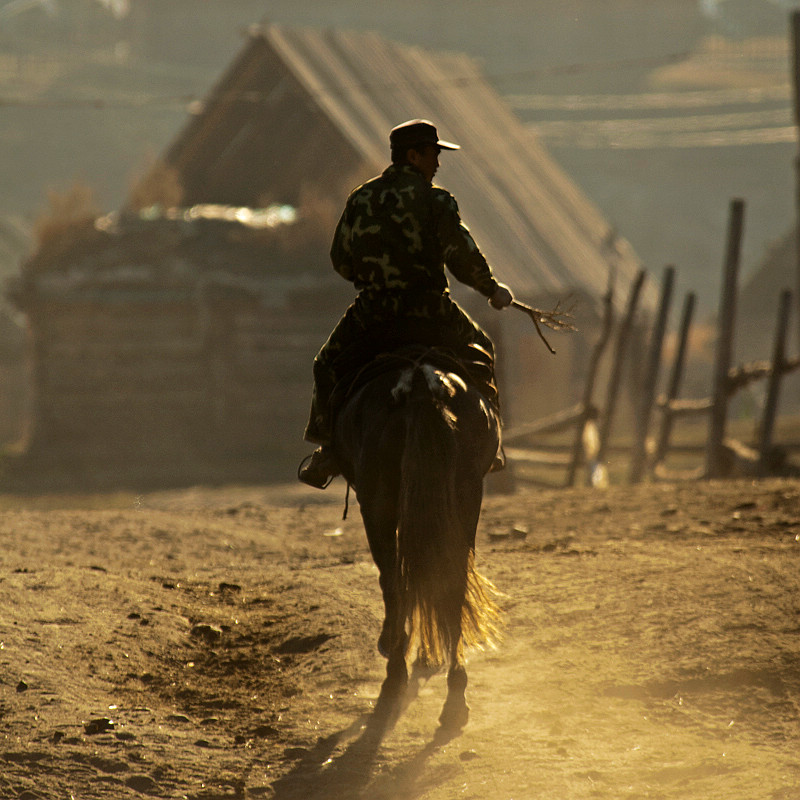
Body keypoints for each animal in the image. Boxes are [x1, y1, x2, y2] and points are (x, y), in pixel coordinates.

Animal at [332, 344, 500, 732]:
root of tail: (421, 384)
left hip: (378, 501)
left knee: (395, 579)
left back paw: (395, 672)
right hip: (465, 493)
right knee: (449, 579)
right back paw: (455, 697)